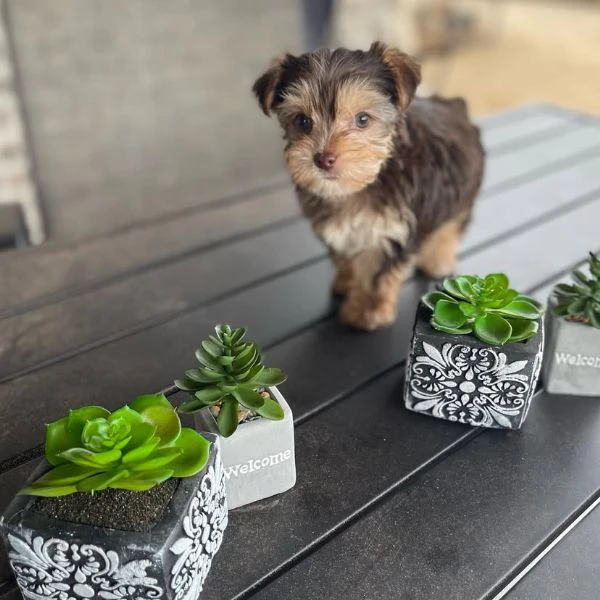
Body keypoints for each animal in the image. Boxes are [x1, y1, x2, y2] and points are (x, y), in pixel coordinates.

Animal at [252, 41, 482, 332]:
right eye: (302, 121)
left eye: (363, 120)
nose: (323, 159)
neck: (363, 185)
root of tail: (454, 103)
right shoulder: (337, 230)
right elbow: (345, 258)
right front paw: (346, 282)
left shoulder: (392, 232)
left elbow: (376, 276)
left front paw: (366, 312)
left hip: (465, 190)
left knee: (450, 226)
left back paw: (438, 260)